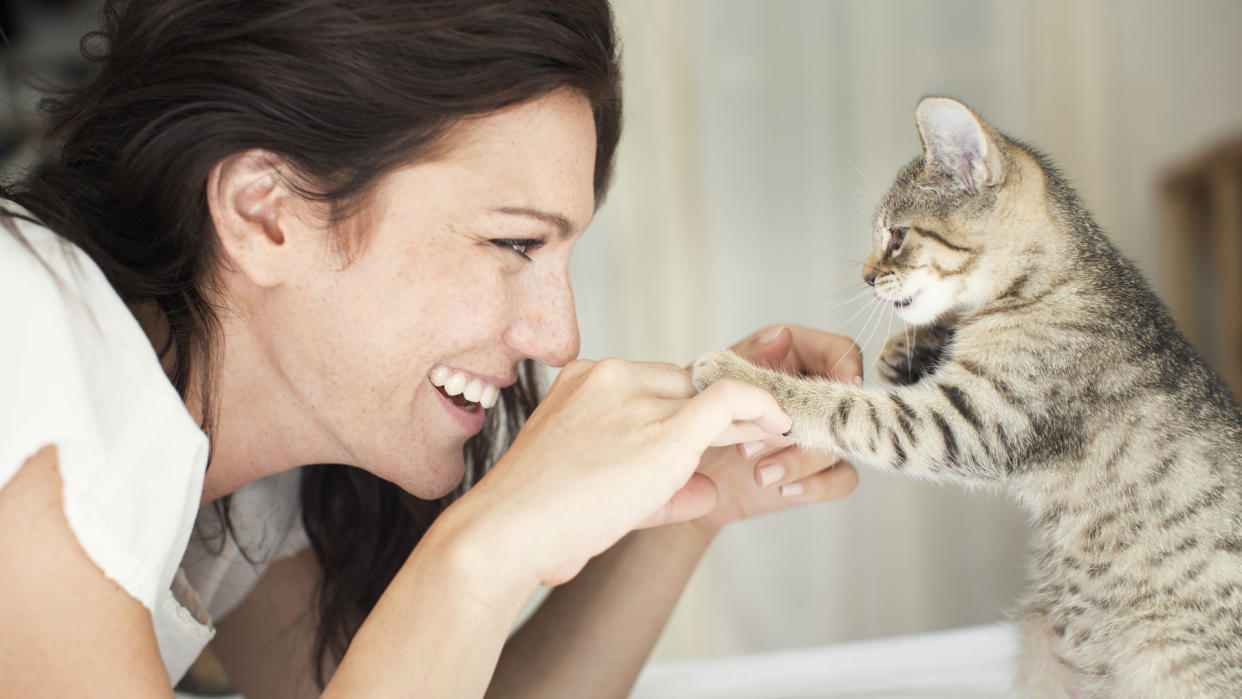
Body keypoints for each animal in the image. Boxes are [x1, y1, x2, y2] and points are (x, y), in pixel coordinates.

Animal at [695, 95, 1242, 695]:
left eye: (895, 237)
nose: (866, 277)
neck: (1052, 282)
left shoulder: (968, 420)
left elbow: (849, 409)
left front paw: (738, 373)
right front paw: (910, 349)